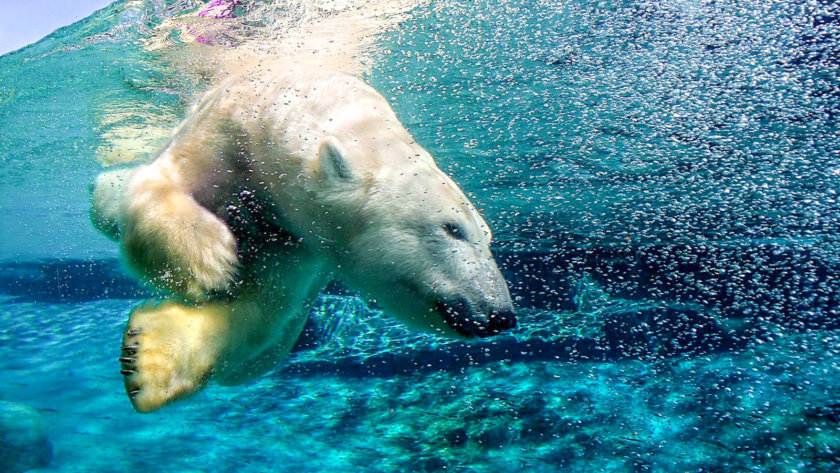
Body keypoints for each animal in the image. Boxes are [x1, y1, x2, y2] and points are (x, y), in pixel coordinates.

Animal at [88, 64, 516, 412]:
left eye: (488, 238)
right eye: (452, 228)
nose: (501, 315)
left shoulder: (300, 242)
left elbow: (263, 307)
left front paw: (147, 358)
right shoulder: (223, 131)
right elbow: (160, 182)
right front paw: (209, 260)